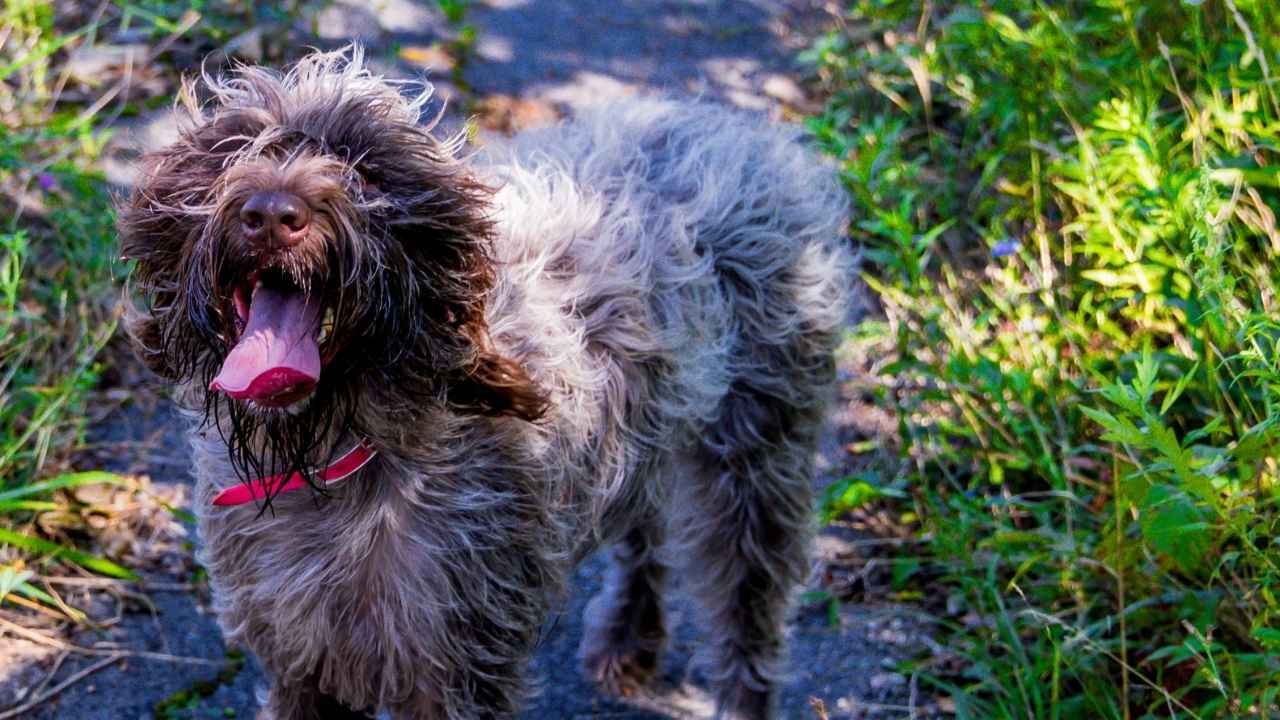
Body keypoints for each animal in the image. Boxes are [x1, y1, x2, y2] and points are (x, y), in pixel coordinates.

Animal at [120, 50, 855, 717]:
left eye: (362, 165)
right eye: (232, 151)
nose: (271, 214)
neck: (337, 457)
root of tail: (738, 127)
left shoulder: (460, 668)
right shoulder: (301, 658)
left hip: (758, 466)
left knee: (747, 617)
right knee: (643, 526)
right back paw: (628, 638)